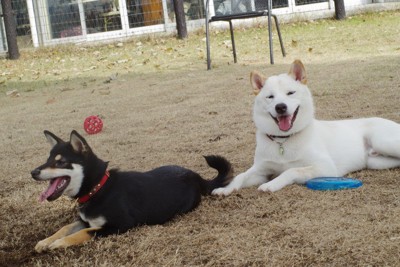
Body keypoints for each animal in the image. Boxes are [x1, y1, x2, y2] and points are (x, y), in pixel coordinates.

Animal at [31, 131, 233, 252]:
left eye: (61, 162)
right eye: (47, 159)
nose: (33, 172)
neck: (98, 189)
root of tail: (195, 176)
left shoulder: (121, 225)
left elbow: (84, 233)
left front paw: (58, 243)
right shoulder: (84, 221)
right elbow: (65, 228)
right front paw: (45, 241)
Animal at [214, 60, 400, 195]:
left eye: (290, 93)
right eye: (270, 97)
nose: (280, 107)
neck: (284, 141)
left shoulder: (326, 167)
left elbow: (291, 170)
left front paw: (272, 184)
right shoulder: (260, 171)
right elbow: (240, 176)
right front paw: (225, 189)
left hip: (382, 141)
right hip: (376, 162)